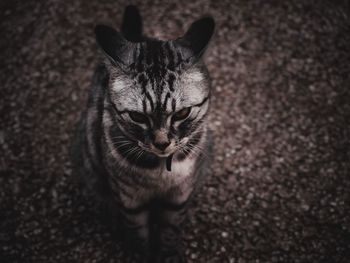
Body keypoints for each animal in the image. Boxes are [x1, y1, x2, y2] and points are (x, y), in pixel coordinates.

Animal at [73, 5, 213, 262]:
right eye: (137, 117)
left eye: (182, 113)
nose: (162, 143)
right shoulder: (130, 200)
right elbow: (138, 234)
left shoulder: (179, 197)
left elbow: (170, 230)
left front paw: (169, 253)